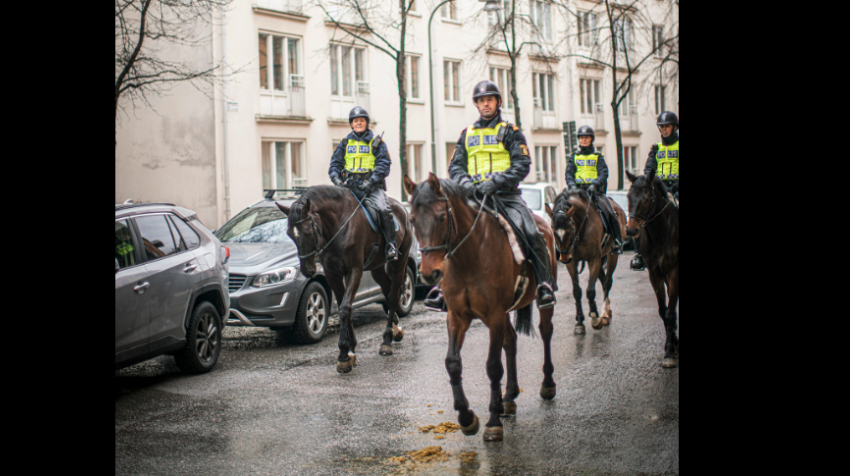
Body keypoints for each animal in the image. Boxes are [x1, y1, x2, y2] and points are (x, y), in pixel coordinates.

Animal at [274, 184, 410, 374]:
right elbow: (343, 307)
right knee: (387, 289)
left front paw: (343, 356)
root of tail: (402, 208)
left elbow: (345, 308)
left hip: (400, 261)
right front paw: (351, 350)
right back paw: (396, 328)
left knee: (392, 297)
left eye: (308, 231)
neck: (338, 226)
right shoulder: (333, 274)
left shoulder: (354, 271)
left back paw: (387, 340)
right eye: (290, 234)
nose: (307, 270)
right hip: (376, 268)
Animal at [402, 174, 556, 442]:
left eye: (441, 217)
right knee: (511, 341)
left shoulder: (493, 316)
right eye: (411, 220)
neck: (469, 256)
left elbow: (493, 366)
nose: (429, 273)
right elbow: (453, 362)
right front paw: (466, 418)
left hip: (534, 303)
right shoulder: (457, 316)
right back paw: (509, 397)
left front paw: (493, 422)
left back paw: (546, 385)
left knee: (545, 332)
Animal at [548, 190, 628, 334]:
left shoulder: (593, 259)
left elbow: (590, 290)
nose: (564, 258)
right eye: (552, 229)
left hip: (611, 255)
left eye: (570, 229)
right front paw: (579, 322)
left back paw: (604, 314)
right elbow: (577, 291)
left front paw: (595, 319)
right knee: (603, 280)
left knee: (607, 282)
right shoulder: (572, 263)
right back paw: (606, 311)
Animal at [620, 171, 680, 368]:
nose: (631, 230)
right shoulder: (655, 275)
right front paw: (672, 345)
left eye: (647, 198)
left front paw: (669, 352)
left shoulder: (674, 273)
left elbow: (670, 312)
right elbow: (664, 311)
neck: (662, 233)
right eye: (628, 196)